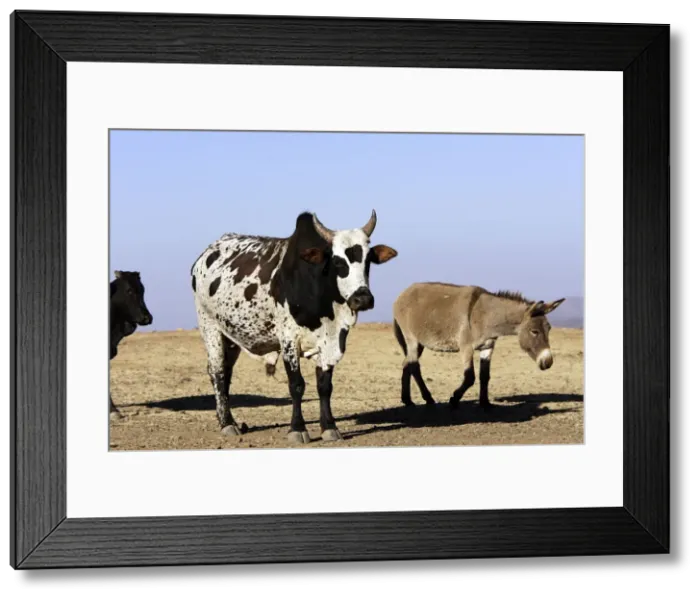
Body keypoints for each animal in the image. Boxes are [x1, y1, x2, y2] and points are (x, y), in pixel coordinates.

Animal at [190, 210, 398, 443]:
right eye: (337, 261)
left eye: (368, 259)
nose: (362, 298)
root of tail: (204, 256)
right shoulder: (288, 339)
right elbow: (297, 385)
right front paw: (297, 429)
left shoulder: (330, 341)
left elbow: (324, 386)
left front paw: (329, 427)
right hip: (210, 328)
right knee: (217, 373)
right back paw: (227, 423)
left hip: (231, 337)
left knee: (226, 373)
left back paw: (228, 420)